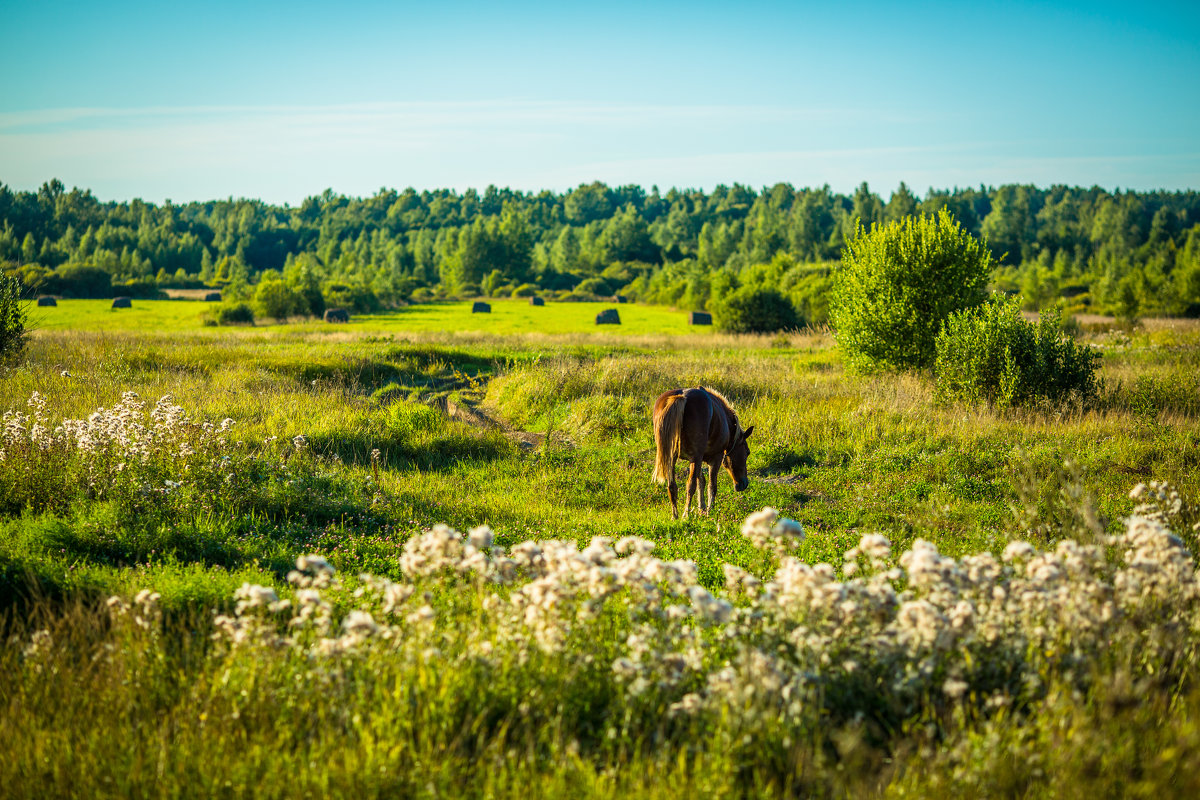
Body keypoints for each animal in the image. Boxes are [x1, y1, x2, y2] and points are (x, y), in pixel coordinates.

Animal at [652, 386, 753, 520]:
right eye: (747, 452)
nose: (744, 484)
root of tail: (681, 396)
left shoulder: (695, 458)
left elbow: (702, 481)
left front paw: (702, 508)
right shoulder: (715, 458)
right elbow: (711, 485)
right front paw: (710, 510)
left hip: (672, 457)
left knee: (672, 486)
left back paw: (675, 516)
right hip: (695, 457)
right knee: (690, 485)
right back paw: (686, 514)